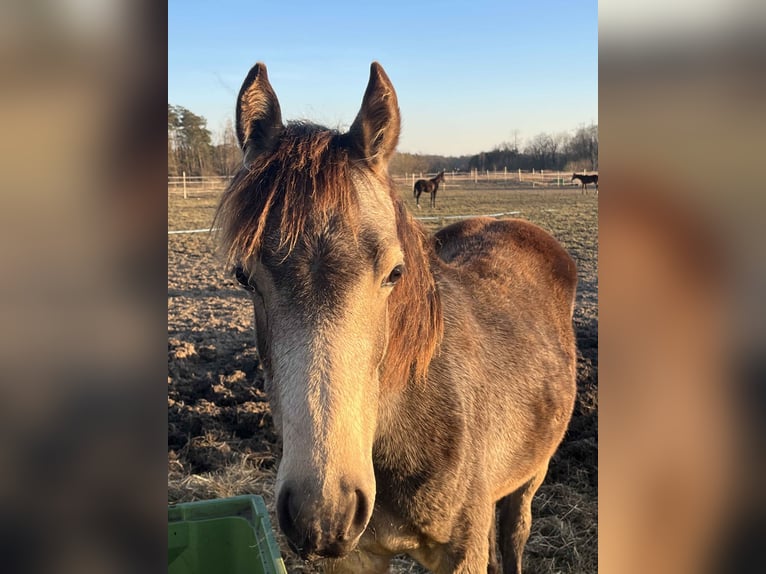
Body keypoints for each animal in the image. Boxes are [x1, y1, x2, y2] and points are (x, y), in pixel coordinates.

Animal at [213, 60, 580, 572]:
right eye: (244, 277)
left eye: (395, 272)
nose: (322, 513)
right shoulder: (355, 557)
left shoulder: (459, 552)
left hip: (531, 475)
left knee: (512, 535)